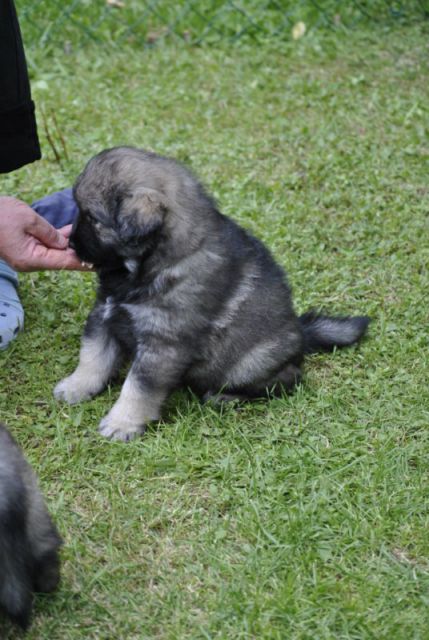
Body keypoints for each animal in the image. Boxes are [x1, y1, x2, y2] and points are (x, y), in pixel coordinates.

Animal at [52, 148, 368, 442]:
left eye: (93, 218)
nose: (71, 244)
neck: (153, 263)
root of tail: (302, 335)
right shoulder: (105, 313)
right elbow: (92, 357)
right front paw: (75, 387)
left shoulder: (163, 344)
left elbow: (138, 387)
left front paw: (121, 423)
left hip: (249, 362)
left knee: (287, 379)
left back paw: (226, 397)